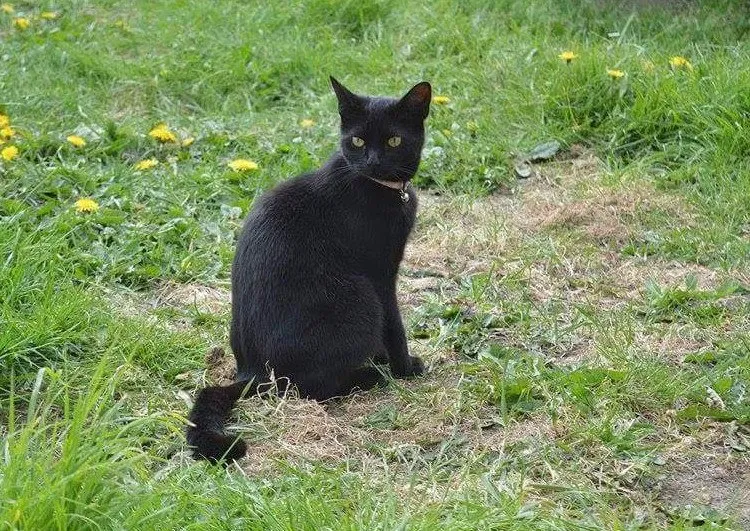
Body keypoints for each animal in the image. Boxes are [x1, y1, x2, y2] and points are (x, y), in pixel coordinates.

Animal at [187, 77, 432, 464]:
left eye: (393, 141)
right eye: (357, 141)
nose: (373, 161)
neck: (384, 191)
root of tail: (250, 372)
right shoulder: (380, 274)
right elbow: (395, 325)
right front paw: (404, 368)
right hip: (359, 298)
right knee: (309, 388)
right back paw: (369, 377)